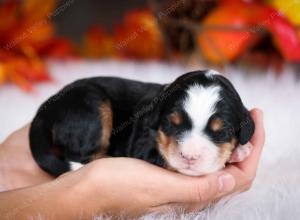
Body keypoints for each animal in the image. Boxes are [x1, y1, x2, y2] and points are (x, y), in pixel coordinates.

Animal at [29, 70, 254, 177]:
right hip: (92, 104)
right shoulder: (143, 147)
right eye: (172, 124)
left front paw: (239, 151)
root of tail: (47, 107)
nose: (190, 156)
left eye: (221, 131)